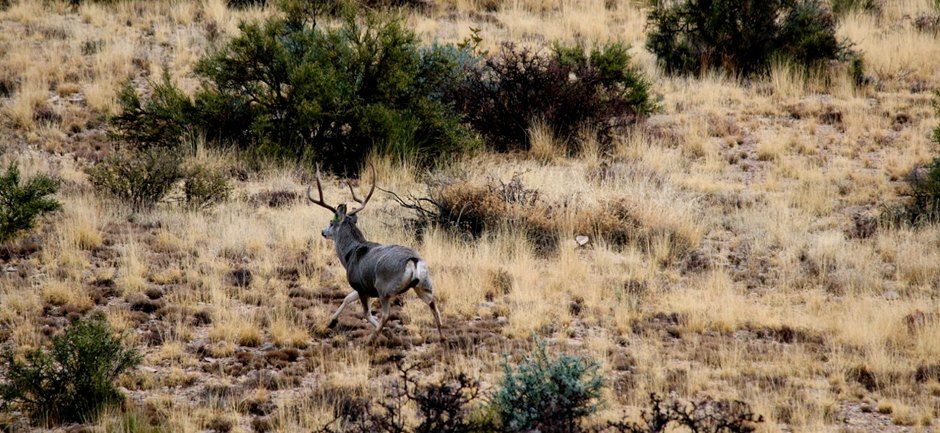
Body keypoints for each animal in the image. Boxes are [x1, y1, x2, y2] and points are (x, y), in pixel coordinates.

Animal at [307, 165, 444, 343]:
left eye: (331, 222)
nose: (323, 232)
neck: (349, 254)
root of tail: (413, 260)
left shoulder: (359, 283)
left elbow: (365, 313)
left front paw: (387, 332)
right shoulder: (364, 286)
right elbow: (347, 298)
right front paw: (331, 321)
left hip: (384, 287)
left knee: (387, 314)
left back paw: (372, 338)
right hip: (424, 283)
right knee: (433, 303)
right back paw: (442, 336)